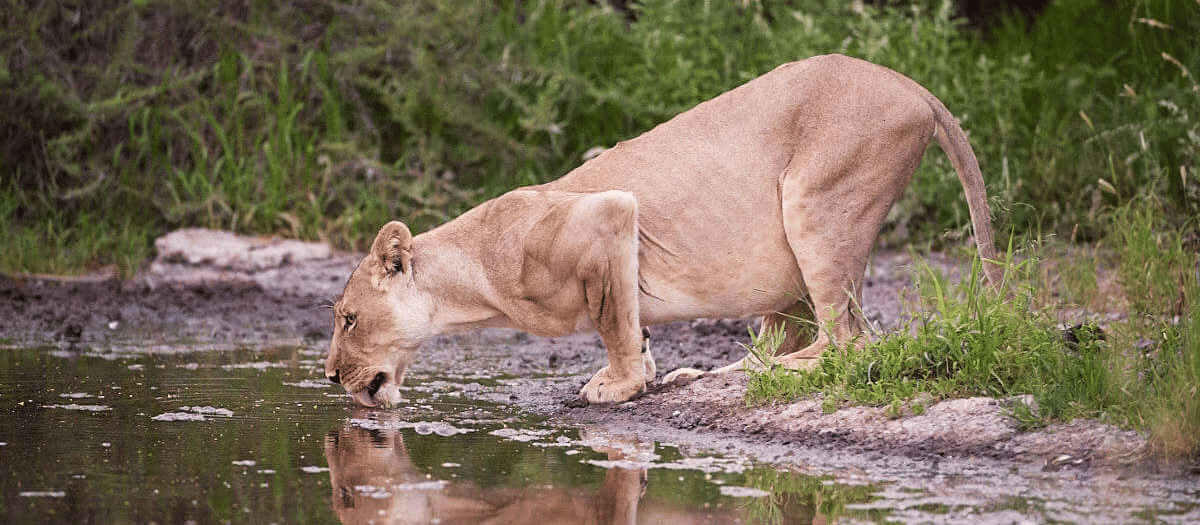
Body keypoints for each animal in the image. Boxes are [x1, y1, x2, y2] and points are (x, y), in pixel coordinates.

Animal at [325, 54, 1001, 408]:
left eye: (349, 319)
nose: (329, 377)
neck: (472, 289)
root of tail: (909, 83)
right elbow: (629, 321)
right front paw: (649, 371)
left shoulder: (607, 215)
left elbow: (613, 322)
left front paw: (617, 385)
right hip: (789, 254)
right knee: (791, 336)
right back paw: (705, 374)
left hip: (814, 202)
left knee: (850, 343)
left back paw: (766, 374)